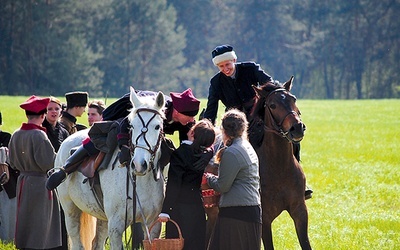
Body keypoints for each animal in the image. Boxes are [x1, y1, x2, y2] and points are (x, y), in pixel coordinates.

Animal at [55, 87, 166, 249]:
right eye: (132, 126)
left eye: (157, 126)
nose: (139, 165)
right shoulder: (116, 227)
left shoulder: (153, 225)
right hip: (70, 210)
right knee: (77, 241)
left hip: (102, 218)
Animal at [252, 76, 310, 250]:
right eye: (272, 105)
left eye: (294, 99)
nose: (297, 128)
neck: (279, 167)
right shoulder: (264, 219)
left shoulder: (300, 212)